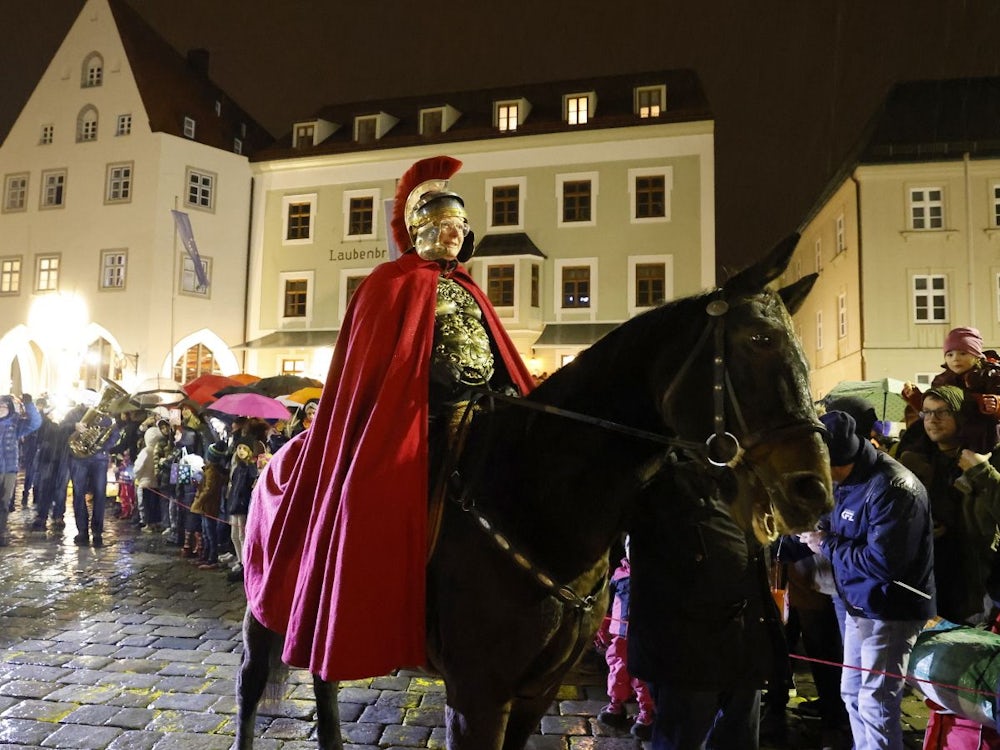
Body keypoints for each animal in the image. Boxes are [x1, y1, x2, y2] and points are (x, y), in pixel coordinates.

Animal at [232, 236, 828, 750]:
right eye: (758, 341)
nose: (814, 489)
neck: (534, 496)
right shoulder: (477, 696)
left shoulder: (534, 694)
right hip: (265, 608)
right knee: (250, 682)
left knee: (324, 679)